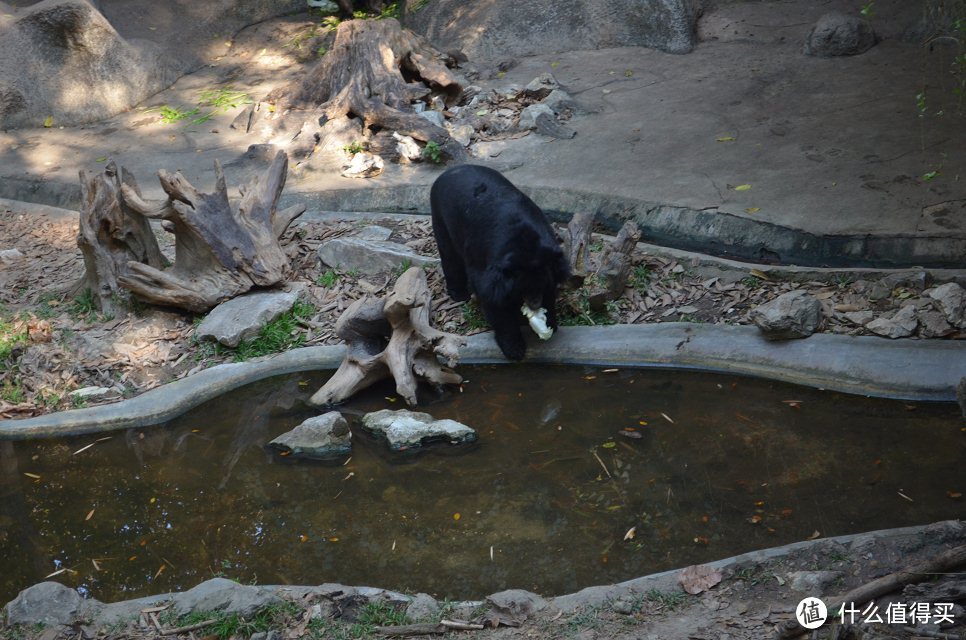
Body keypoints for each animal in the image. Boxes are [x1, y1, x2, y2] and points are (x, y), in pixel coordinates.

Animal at [430, 164, 572, 360]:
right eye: (522, 289)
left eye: (541, 286)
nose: (535, 304)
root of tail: (451, 170)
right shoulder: (486, 265)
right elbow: (495, 302)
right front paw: (515, 348)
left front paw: (550, 323)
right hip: (441, 217)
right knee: (450, 256)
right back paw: (459, 294)